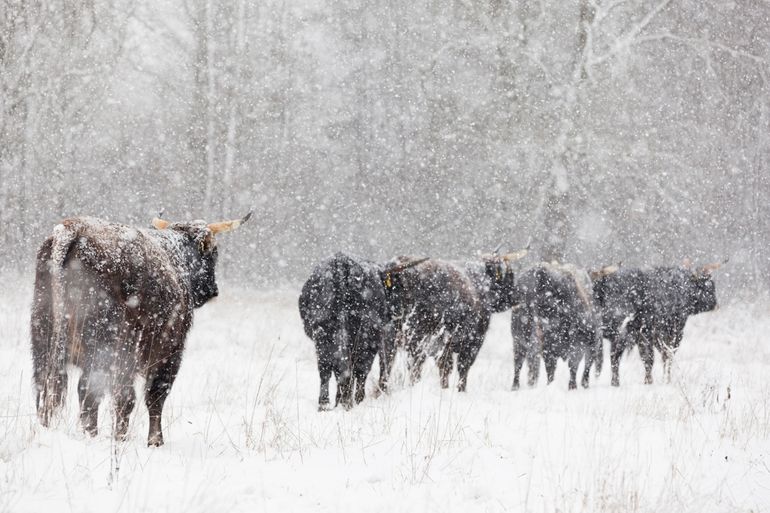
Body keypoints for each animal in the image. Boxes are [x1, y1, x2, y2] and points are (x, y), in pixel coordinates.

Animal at [31, 212, 249, 444]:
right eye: (214, 253)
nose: (212, 290)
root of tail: (73, 228)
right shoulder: (170, 354)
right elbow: (154, 397)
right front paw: (155, 441)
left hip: (44, 343)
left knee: (49, 389)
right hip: (111, 352)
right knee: (104, 395)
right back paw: (108, 437)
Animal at [296, 250, 426, 410]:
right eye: (400, 288)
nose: (400, 312)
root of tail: (341, 265)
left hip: (323, 335)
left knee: (327, 368)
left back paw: (325, 404)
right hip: (365, 337)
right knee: (356, 369)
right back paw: (350, 402)